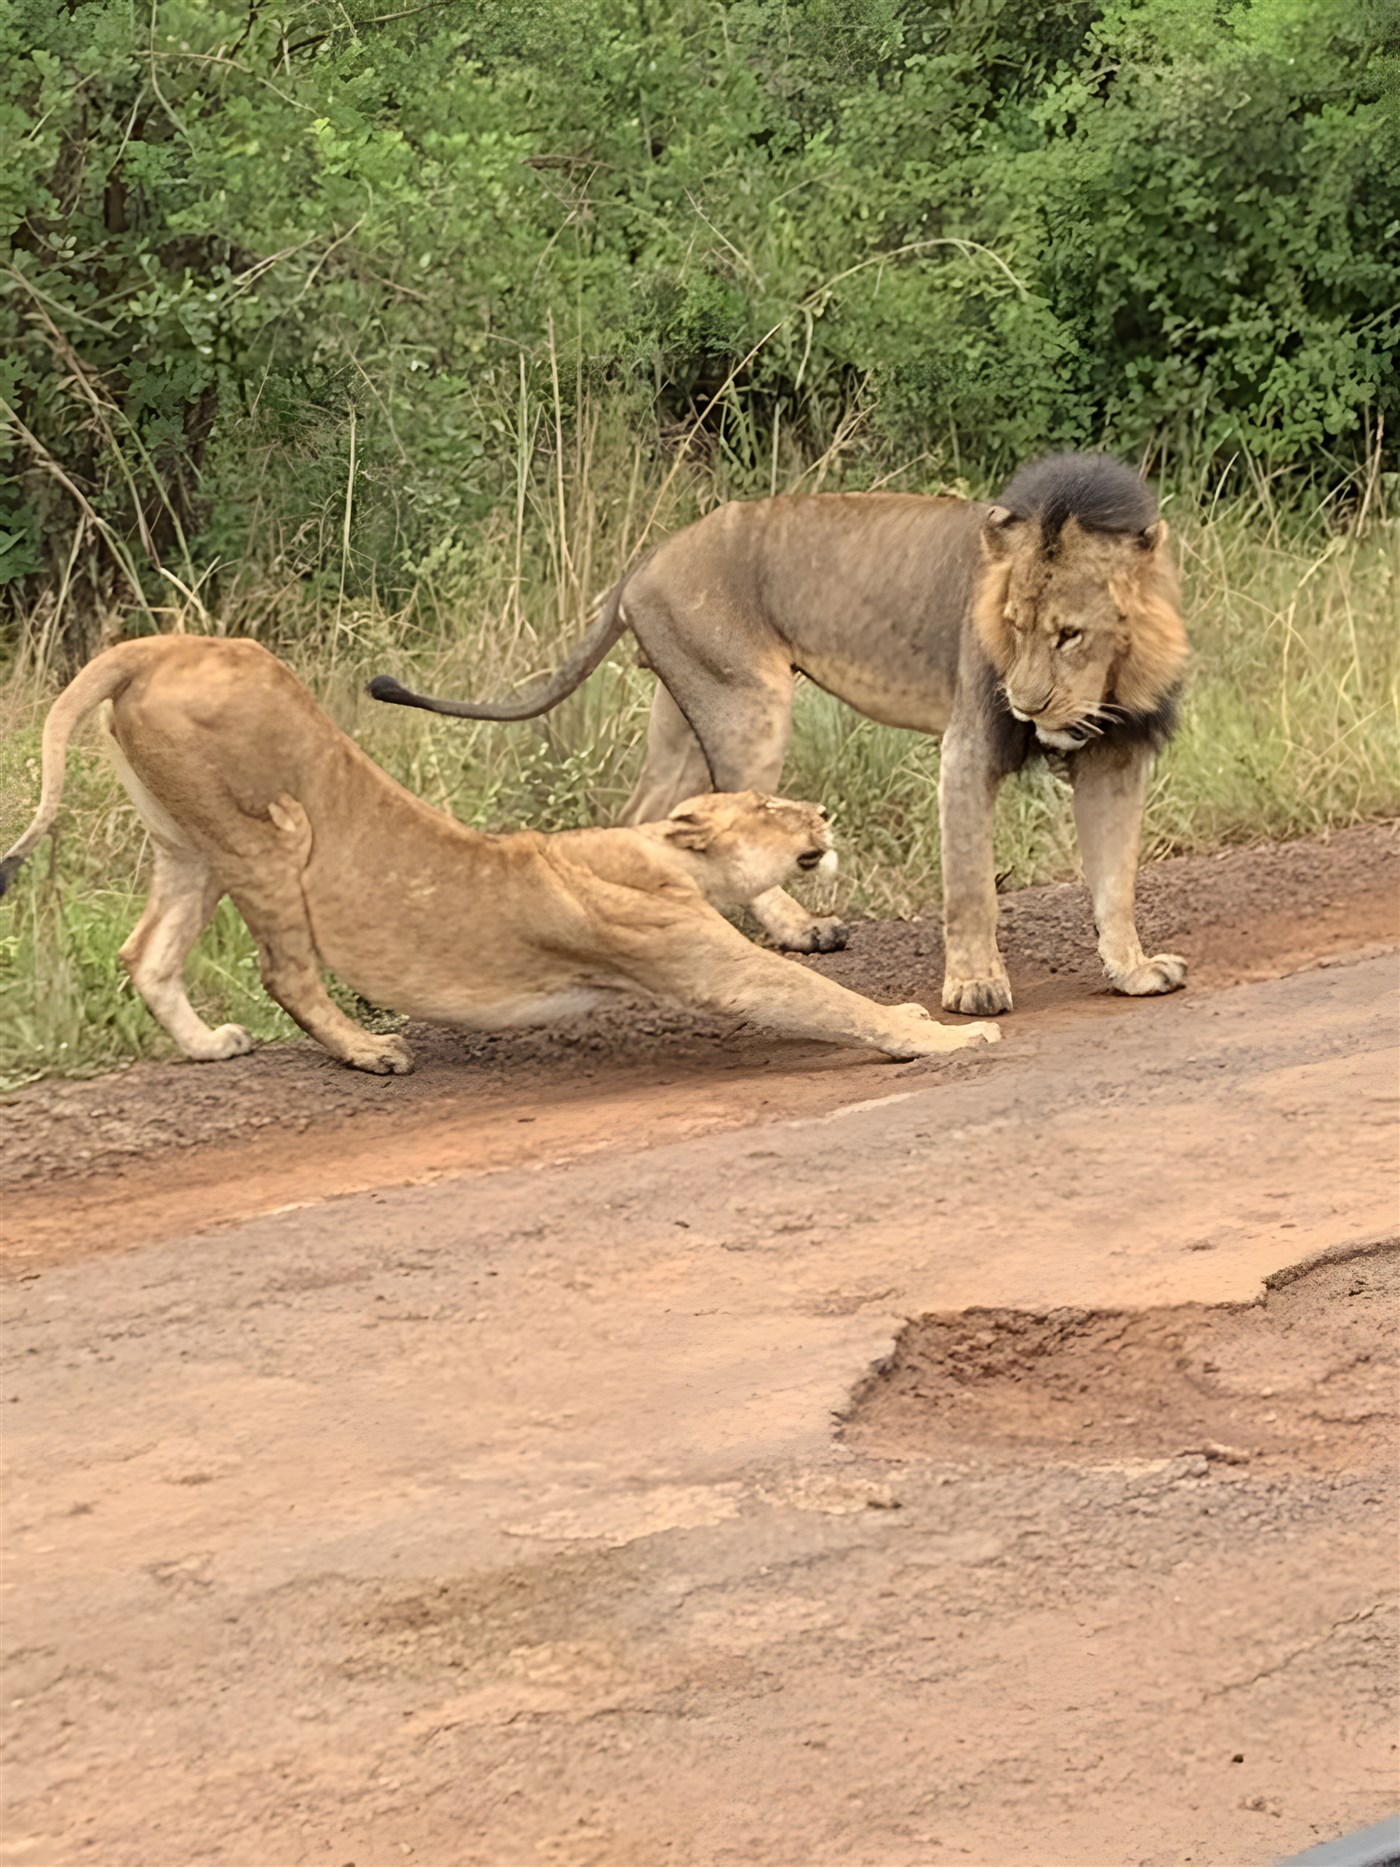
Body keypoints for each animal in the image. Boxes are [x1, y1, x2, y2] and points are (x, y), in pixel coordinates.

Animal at [0, 636, 1001, 1073]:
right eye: (766, 803)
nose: (822, 809)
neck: (658, 856)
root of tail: (160, 642)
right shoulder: (696, 959)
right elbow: (820, 996)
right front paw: (943, 1032)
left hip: (190, 838)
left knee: (146, 951)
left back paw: (209, 1045)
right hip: (267, 828)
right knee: (284, 970)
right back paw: (369, 1051)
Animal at [370, 452, 1190, 1015]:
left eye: (1069, 634)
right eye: (1013, 627)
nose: (1024, 703)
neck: (1107, 682)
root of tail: (644, 561)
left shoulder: (1118, 758)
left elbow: (1115, 879)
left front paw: (1133, 970)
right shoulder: (967, 746)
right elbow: (971, 889)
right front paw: (975, 987)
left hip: (685, 714)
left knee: (644, 817)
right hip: (749, 701)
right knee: (732, 825)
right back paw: (801, 932)